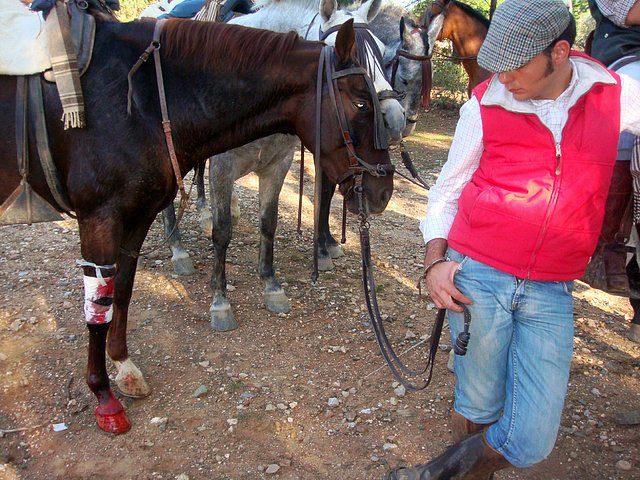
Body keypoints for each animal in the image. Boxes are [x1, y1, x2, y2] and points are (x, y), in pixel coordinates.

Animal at [0, 16, 392, 434]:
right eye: (361, 103)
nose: (384, 190)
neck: (140, 99)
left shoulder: (138, 215)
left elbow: (124, 288)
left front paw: (123, 365)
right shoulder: (100, 218)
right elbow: (99, 309)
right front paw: (104, 396)